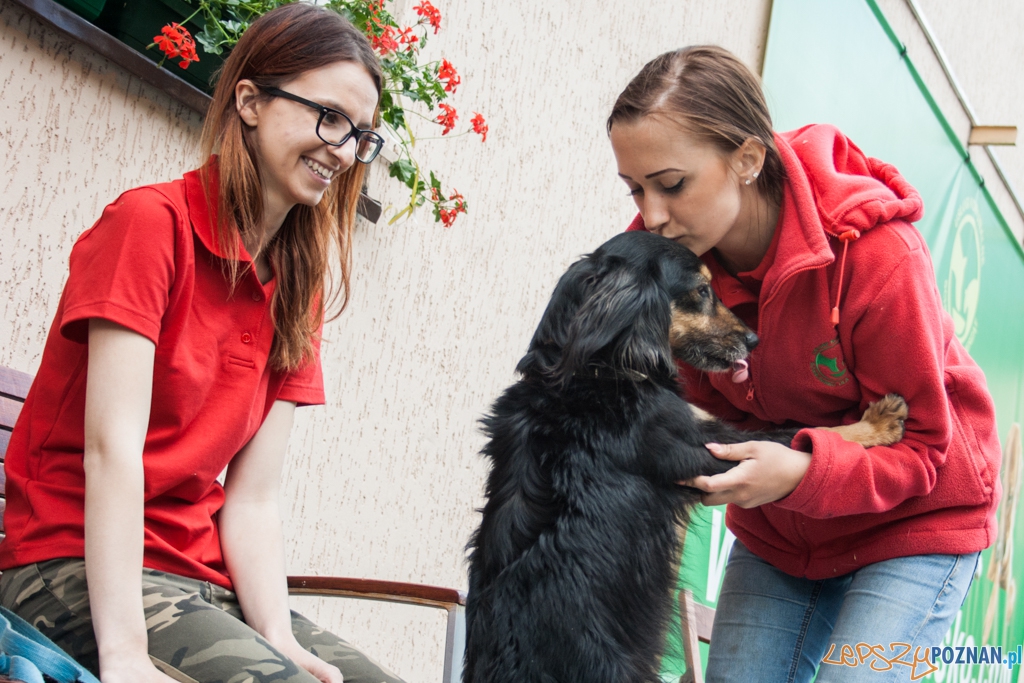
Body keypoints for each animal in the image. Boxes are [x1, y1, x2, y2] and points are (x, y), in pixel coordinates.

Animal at [464, 231, 905, 683]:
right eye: (703, 290)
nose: (754, 341)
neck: (592, 372)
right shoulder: (709, 446)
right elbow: (801, 435)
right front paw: (876, 424)